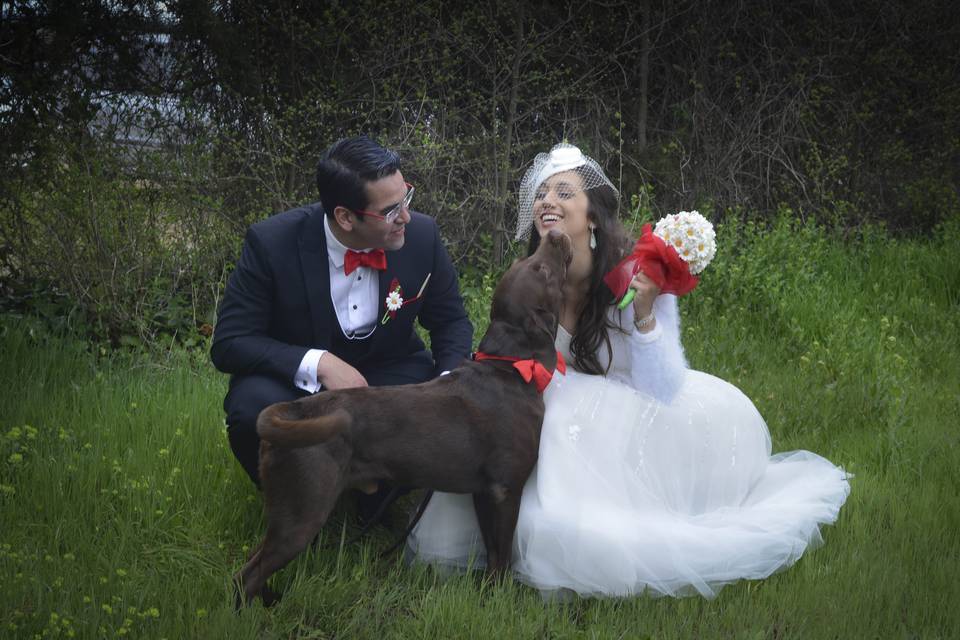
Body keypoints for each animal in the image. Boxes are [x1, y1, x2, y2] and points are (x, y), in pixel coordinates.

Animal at [234, 229, 568, 604]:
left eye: (530, 262)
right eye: (542, 269)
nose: (555, 234)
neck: (511, 369)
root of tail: (297, 410)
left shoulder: (484, 493)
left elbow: (493, 554)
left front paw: (490, 594)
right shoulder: (506, 490)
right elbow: (504, 553)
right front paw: (502, 600)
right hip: (304, 507)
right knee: (247, 574)